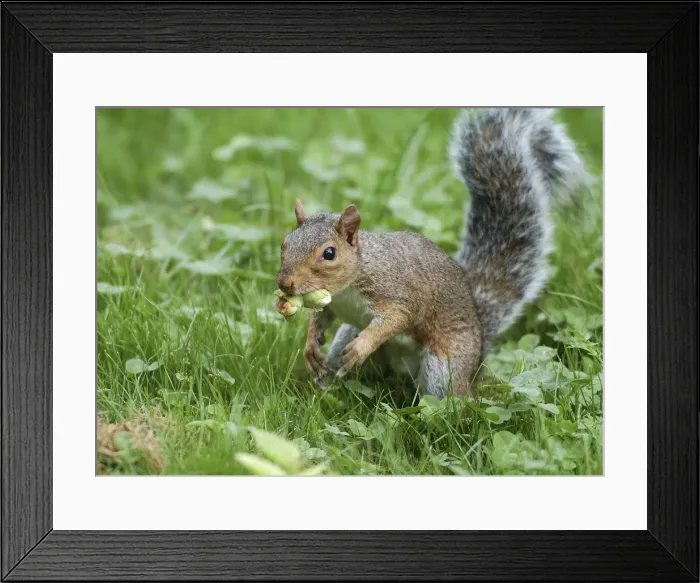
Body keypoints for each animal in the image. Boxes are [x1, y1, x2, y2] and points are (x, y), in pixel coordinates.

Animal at [276, 108, 592, 399]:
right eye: (285, 243)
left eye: (329, 253)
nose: (284, 283)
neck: (351, 281)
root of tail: (478, 351)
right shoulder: (332, 305)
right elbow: (319, 319)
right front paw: (310, 346)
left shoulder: (396, 293)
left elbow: (397, 319)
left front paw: (361, 347)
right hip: (348, 335)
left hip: (444, 368)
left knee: (448, 401)